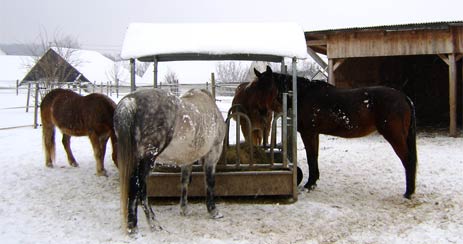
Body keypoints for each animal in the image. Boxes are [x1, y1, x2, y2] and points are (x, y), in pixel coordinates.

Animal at [114, 88, 227, 234]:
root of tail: (130, 101)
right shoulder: (213, 153)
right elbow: (210, 182)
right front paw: (213, 211)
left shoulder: (187, 159)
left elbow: (185, 182)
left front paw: (184, 209)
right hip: (148, 158)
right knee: (138, 187)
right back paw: (141, 225)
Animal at [254, 66, 420, 198]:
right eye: (256, 87)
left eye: (268, 87)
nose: (261, 111)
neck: (302, 95)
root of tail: (404, 97)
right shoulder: (314, 134)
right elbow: (314, 156)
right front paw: (314, 182)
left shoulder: (308, 133)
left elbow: (311, 158)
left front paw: (309, 184)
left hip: (395, 137)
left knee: (408, 160)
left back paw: (408, 193)